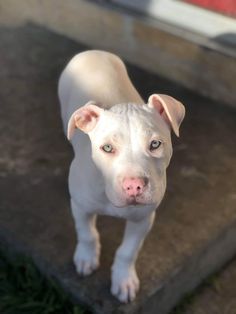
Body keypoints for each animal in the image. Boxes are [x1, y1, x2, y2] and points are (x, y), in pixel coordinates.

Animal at [58, 50, 185, 302]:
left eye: (155, 144)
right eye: (107, 148)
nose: (134, 186)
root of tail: (93, 52)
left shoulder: (143, 219)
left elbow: (128, 251)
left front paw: (123, 279)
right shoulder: (80, 206)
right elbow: (86, 233)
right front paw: (87, 257)